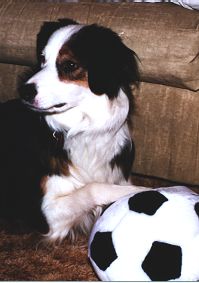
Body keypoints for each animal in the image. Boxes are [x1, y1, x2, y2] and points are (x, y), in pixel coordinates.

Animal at [20, 20, 146, 242]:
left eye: (69, 65)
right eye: (42, 59)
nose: (24, 92)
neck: (82, 129)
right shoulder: (46, 212)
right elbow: (93, 187)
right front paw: (141, 190)